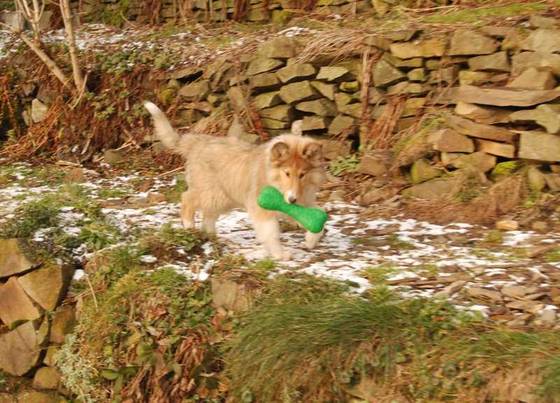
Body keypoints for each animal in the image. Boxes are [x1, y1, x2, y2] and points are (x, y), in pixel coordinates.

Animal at [144, 102, 326, 260]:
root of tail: (199, 142)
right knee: (187, 199)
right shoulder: (261, 208)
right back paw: (189, 227)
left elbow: (317, 218)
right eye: (287, 173)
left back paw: (211, 237)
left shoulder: (301, 203)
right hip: (211, 191)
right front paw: (279, 254)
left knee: (208, 215)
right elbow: (271, 232)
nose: (292, 199)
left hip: (224, 197)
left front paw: (309, 241)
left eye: (302, 174)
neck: (274, 179)